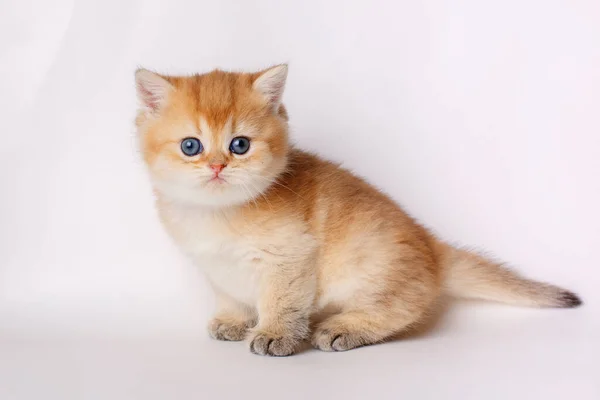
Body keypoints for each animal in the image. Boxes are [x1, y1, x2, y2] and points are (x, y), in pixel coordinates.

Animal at [135, 65, 580, 356]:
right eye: (191, 145)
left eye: (239, 145)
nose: (217, 166)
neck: (216, 214)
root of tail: (432, 246)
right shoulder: (216, 268)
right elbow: (230, 295)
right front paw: (232, 320)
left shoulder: (290, 257)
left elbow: (281, 300)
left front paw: (276, 333)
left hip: (369, 265)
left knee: (402, 307)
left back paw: (345, 328)